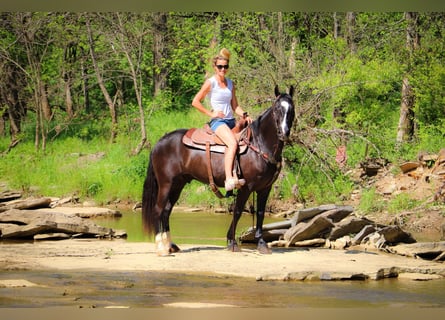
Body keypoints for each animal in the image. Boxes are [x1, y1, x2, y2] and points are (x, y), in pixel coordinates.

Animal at [142, 85, 294, 255]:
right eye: (277, 108)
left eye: (291, 108)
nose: (284, 133)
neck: (259, 144)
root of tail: (159, 142)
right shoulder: (246, 187)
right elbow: (238, 211)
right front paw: (232, 242)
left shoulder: (265, 188)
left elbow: (261, 213)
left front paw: (261, 244)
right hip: (165, 184)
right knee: (158, 210)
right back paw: (161, 248)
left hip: (177, 184)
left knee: (167, 211)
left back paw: (170, 245)